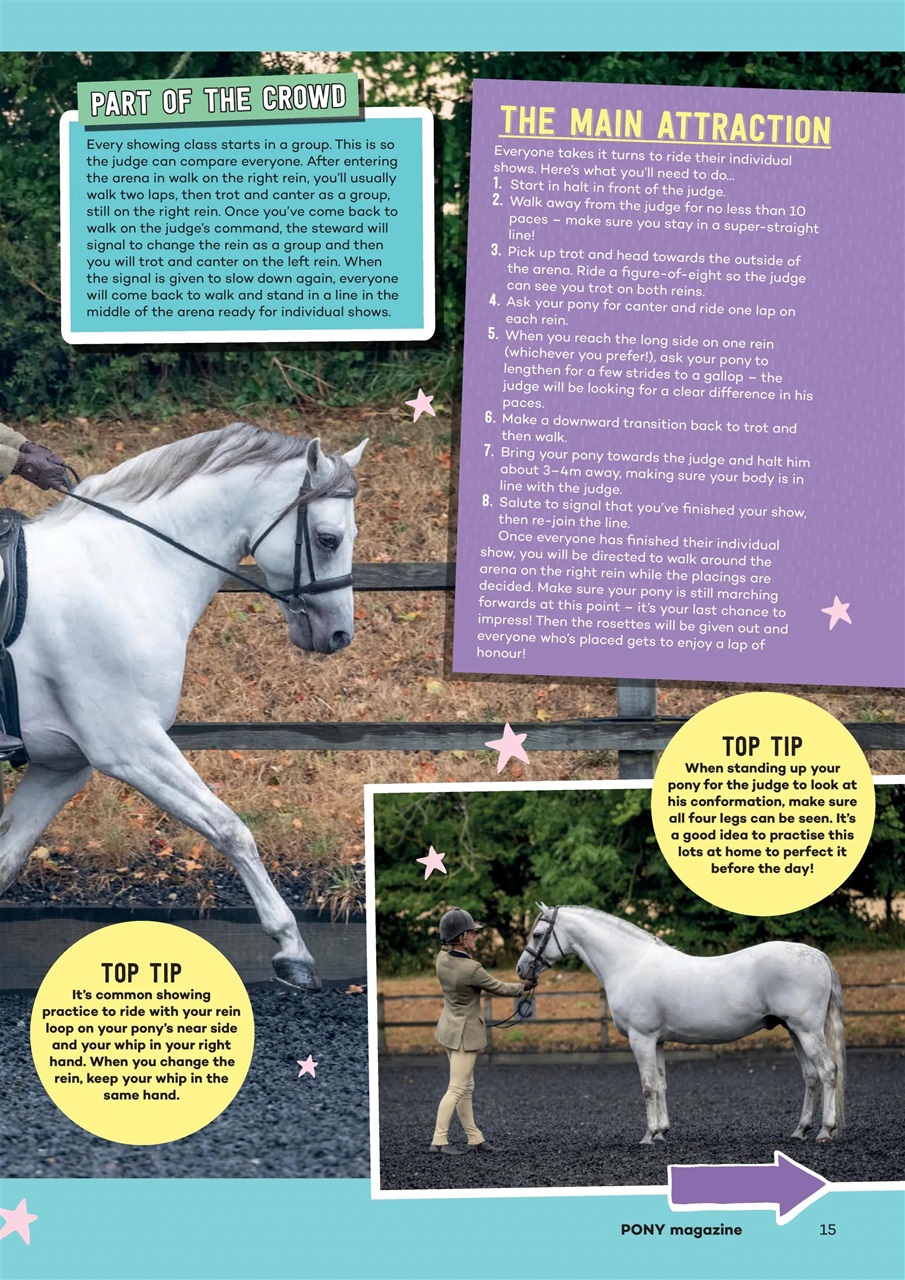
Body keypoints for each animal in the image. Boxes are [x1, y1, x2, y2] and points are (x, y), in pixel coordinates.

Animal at [0, 422, 366, 991]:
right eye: (328, 539)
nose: (339, 635)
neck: (123, 569)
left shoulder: (63, 764)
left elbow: (8, 855)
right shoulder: (131, 746)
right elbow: (230, 828)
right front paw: (292, 951)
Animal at [516, 904, 845, 1144]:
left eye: (537, 934)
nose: (521, 969)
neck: (629, 964)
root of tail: (818, 955)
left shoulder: (641, 1039)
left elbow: (648, 1086)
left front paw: (649, 1136)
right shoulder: (657, 1040)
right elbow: (661, 1084)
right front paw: (662, 1131)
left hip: (807, 1031)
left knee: (828, 1072)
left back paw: (825, 1131)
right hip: (794, 1031)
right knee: (811, 1077)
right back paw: (800, 1130)